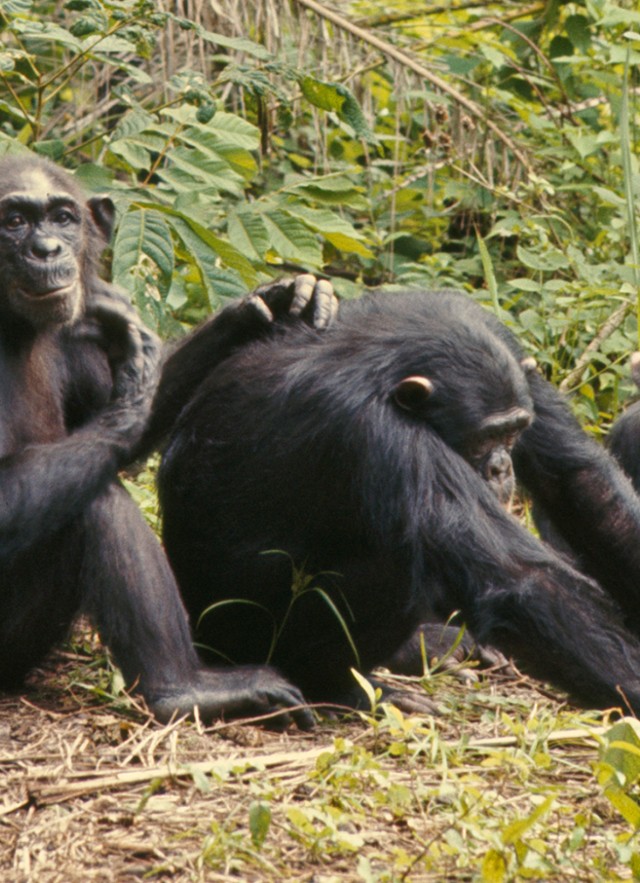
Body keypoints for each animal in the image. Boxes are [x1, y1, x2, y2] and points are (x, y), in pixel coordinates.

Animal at [0, 155, 340, 728]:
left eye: (63, 218)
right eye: (15, 221)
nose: (46, 249)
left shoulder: (78, 329)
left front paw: (268, 303)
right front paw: (137, 375)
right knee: (99, 502)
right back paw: (181, 690)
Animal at [158, 286, 640, 716]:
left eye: (515, 431)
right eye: (485, 437)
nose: (502, 466)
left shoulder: (508, 354)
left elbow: (575, 477)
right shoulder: (374, 429)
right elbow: (520, 581)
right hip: (242, 639)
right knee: (396, 563)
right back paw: (344, 688)